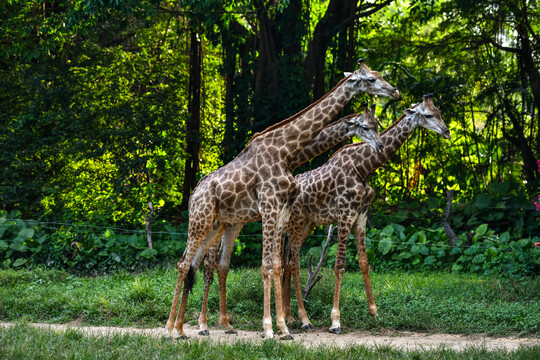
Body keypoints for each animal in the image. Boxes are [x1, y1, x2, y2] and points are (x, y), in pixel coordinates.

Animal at [196, 105, 386, 336]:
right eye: (366, 127)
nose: (379, 146)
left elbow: (280, 262)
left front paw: (286, 319)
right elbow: (280, 262)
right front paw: (287, 321)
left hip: (234, 224)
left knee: (221, 263)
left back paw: (225, 323)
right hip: (217, 224)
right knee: (208, 262)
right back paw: (203, 324)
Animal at [284, 93, 450, 332]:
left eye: (439, 112)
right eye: (427, 115)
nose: (446, 132)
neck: (365, 167)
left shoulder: (361, 215)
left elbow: (364, 262)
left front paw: (374, 312)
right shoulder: (345, 213)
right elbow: (340, 265)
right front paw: (335, 320)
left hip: (306, 224)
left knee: (287, 259)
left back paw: (289, 317)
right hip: (297, 222)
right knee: (293, 262)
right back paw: (304, 319)